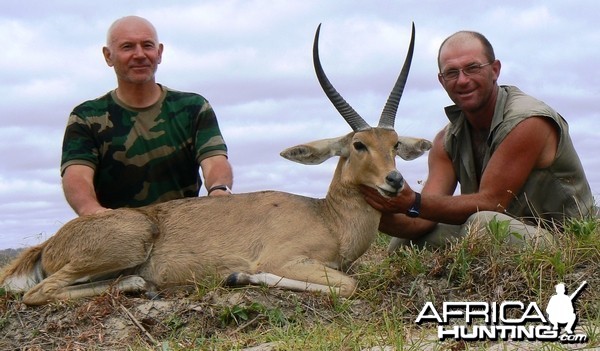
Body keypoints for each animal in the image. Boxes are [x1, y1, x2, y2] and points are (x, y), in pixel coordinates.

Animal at [1, 24, 432, 306]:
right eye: (358, 145)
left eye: (394, 143)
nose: (395, 180)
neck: (327, 217)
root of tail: (49, 243)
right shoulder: (286, 259)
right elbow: (348, 286)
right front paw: (238, 275)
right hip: (125, 245)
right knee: (39, 292)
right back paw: (142, 285)